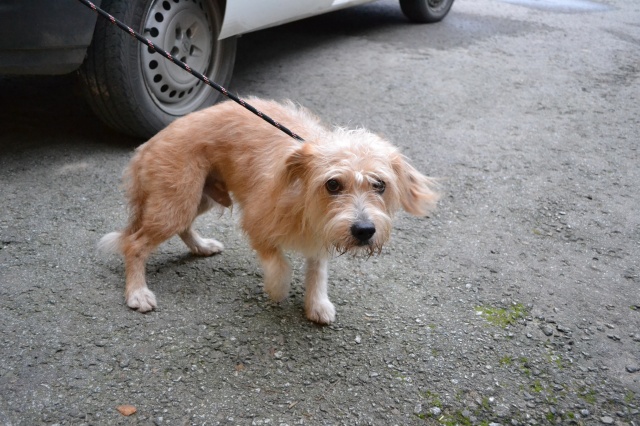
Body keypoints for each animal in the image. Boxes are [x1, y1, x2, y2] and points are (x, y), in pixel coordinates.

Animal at [99, 98, 438, 324]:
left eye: (379, 185)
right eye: (332, 185)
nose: (364, 231)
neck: (305, 202)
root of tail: (148, 144)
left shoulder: (322, 234)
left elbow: (317, 271)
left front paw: (316, 303)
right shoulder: (256, 222)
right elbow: (279, 263)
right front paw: (277, 289)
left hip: (198, 198)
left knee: (181, 228)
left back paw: (201, 246)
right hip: (177, 200)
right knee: (134, 244)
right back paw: (137, 292)